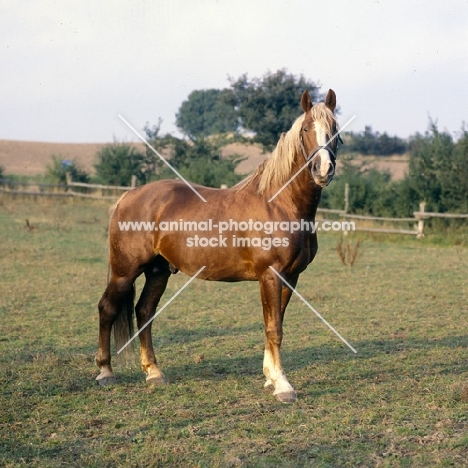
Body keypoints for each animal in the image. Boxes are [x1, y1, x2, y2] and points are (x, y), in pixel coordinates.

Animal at [95, 88, 338, 402]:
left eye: (335, 129)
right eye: (307, 129)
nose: (324, 169)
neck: (280, 204)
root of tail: (128, 196)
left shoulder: (291, 278)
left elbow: (274, 325)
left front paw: (270, 378)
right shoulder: (271, 275)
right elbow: (274, 328)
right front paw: (283, 386)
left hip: (158, 271)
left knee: (144, 312)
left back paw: (154, 373)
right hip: (125, 272)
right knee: (107, 308)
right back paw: (105, 372)